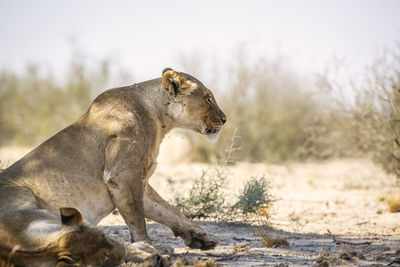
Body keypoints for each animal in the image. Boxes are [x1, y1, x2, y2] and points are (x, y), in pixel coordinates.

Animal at [0, 67, 225, 266]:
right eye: (207, 98)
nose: (225, 119)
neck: (159, 116)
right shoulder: (123, 176)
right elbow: (138, 219)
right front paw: (149, 245)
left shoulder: (139, 181)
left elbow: (166, 209)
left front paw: (200, 237)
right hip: (35, 207)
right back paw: (153, 251)